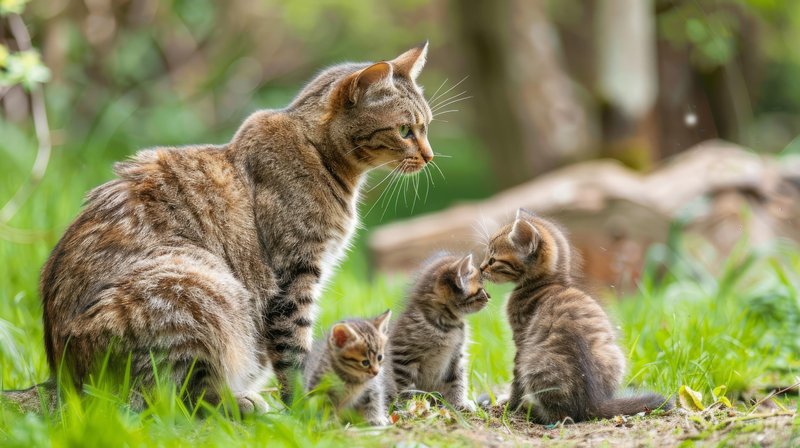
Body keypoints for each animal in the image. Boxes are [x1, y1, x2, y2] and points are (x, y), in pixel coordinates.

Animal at [6, 42, 434, 412]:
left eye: (426, 126)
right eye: (405, 131)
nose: (430, 156)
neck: (319, 154)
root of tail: (62, 384)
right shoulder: (294, 275)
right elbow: (294, 348)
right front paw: (305, 406)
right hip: (200, 289)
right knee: (173, 401)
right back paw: (244, 403)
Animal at [386, 254, 490, 412]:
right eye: (480, 289)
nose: (489, 296)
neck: (447, 326)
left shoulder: (456, 357)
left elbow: (457, 380)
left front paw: (459, 403)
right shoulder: (402, 356)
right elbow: (404, 385)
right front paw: (406, 406)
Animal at [478, 210, 672, 424]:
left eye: (492, 260)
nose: (479, 267)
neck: (549, 283)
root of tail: (593, 402)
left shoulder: (521, 340)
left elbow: (516, 381)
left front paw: (509, 404)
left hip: (534, 363)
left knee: (562, 415)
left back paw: (529, 408)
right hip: (613, 353)